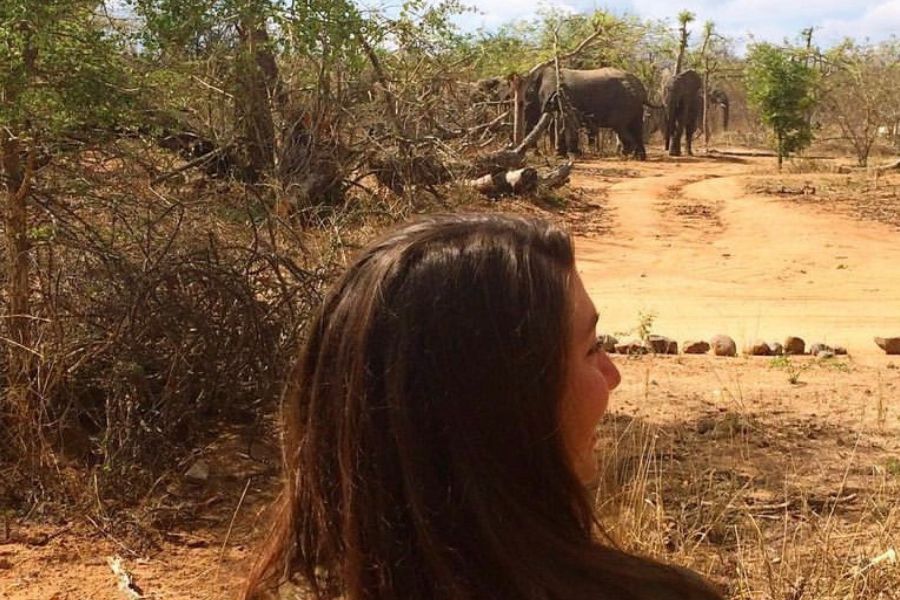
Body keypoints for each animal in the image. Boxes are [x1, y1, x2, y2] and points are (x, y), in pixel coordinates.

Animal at [523, 66, 652, 159]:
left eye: (528, 102)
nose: (537, 153)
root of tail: (641, 88)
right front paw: (563, 155)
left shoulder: (563, 98)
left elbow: (564, 122)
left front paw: (570, 155)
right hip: (635, 105)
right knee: (635, 127)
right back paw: (638, 157)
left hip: (625, 103)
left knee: (621, 127)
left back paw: (626, 154)